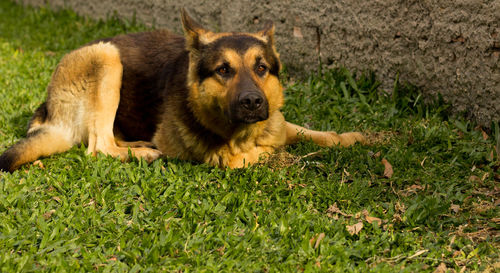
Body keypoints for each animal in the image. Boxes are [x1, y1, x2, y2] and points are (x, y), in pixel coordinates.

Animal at [0, 11, 366, 172]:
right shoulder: (224, 156)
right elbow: (263, 153)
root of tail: (49, 106)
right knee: (98, 146)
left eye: (262, 68)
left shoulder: (277, 121)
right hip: (107, 58)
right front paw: (286, 156)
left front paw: (363, 138)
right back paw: (143, 152)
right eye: (223, 70)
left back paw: (139, 145)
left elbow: (313, 132)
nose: (252, 103)